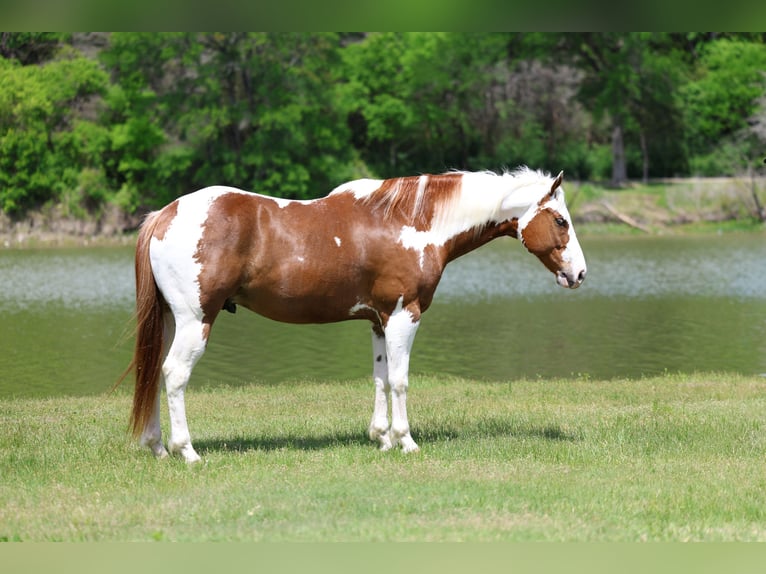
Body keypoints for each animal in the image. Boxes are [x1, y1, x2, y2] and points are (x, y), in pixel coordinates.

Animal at [121, 167, 587, 462]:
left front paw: (381, 439)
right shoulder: (403, 315)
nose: (580, 274)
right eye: (561, 221)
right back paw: (186, 451)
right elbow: (399, 381)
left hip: (170, 321)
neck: (411, 221)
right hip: (195, 321)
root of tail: (165, 213)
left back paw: (158, 447)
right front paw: (405, 440)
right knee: (174, 375)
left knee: (156, 372)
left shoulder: (379, 321)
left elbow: (380, 378)